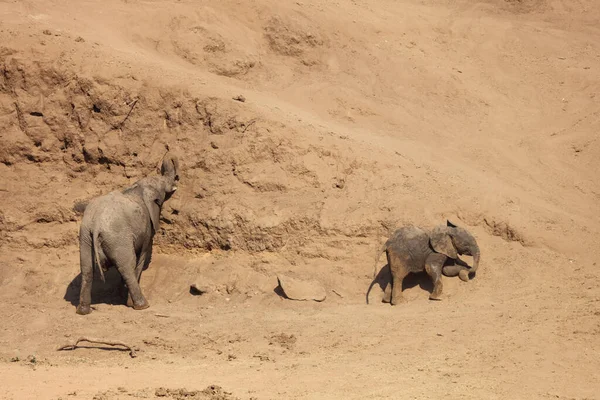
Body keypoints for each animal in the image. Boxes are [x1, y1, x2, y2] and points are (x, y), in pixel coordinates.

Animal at [75, 153, 179, 316]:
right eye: (162, 184)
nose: (171, 156)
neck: (137, 187)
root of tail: (96, 223)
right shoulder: (146, 227)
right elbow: (141, 257)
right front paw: (128, 302)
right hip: (117, 237)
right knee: (127, 266)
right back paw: (142, 305)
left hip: (85, 235)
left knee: (86, 269)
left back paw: (83, 311)